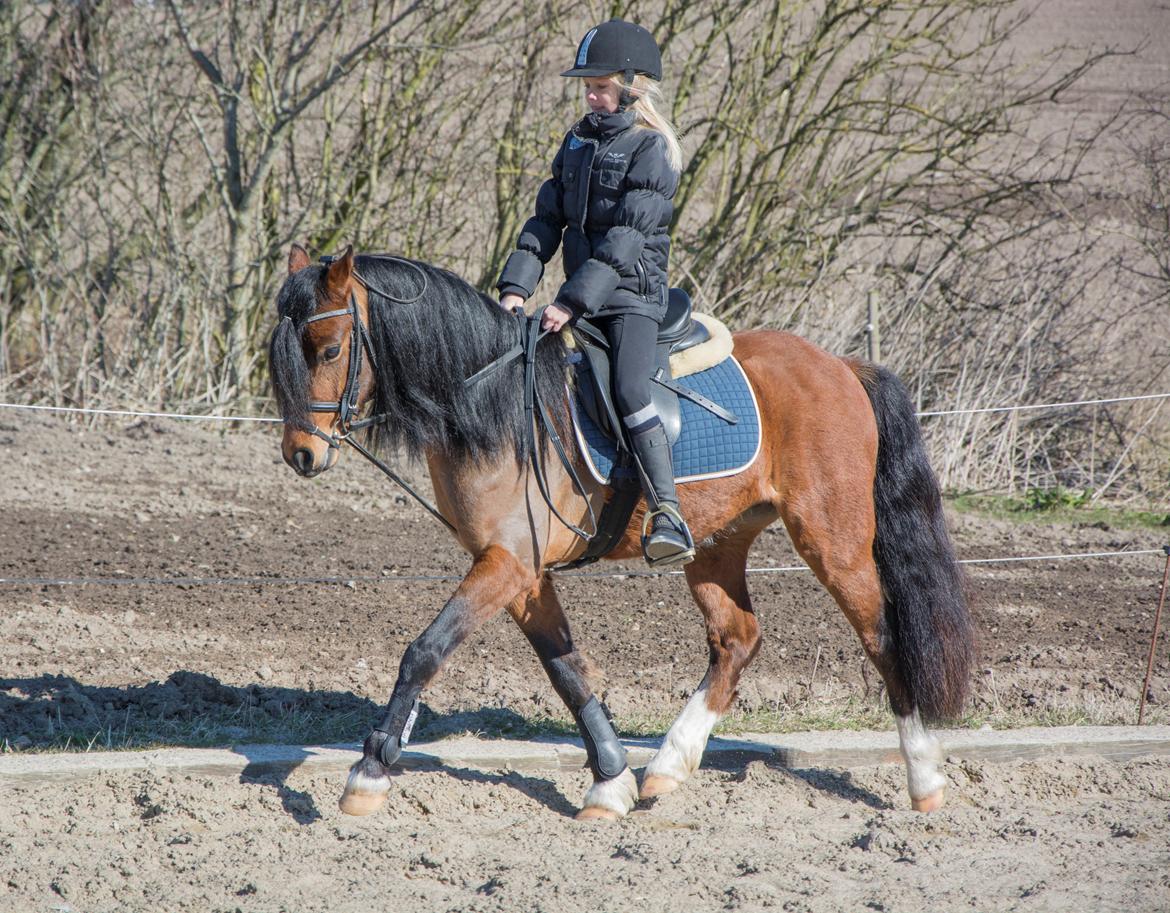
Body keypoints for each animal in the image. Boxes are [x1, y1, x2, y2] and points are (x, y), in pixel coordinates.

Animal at [268, 244, 974, 820]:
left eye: (329, 350)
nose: (301, 454)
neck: (489, 401)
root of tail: (841, 365)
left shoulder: (507, 564)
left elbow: (425, 650)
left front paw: (369, 772)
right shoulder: (521, 571)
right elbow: (567, 669)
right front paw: (610, 782)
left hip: (833, 540)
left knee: (882, 634)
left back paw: (923, 776)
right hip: (717, 543)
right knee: (737, 639)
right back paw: (666, 766)